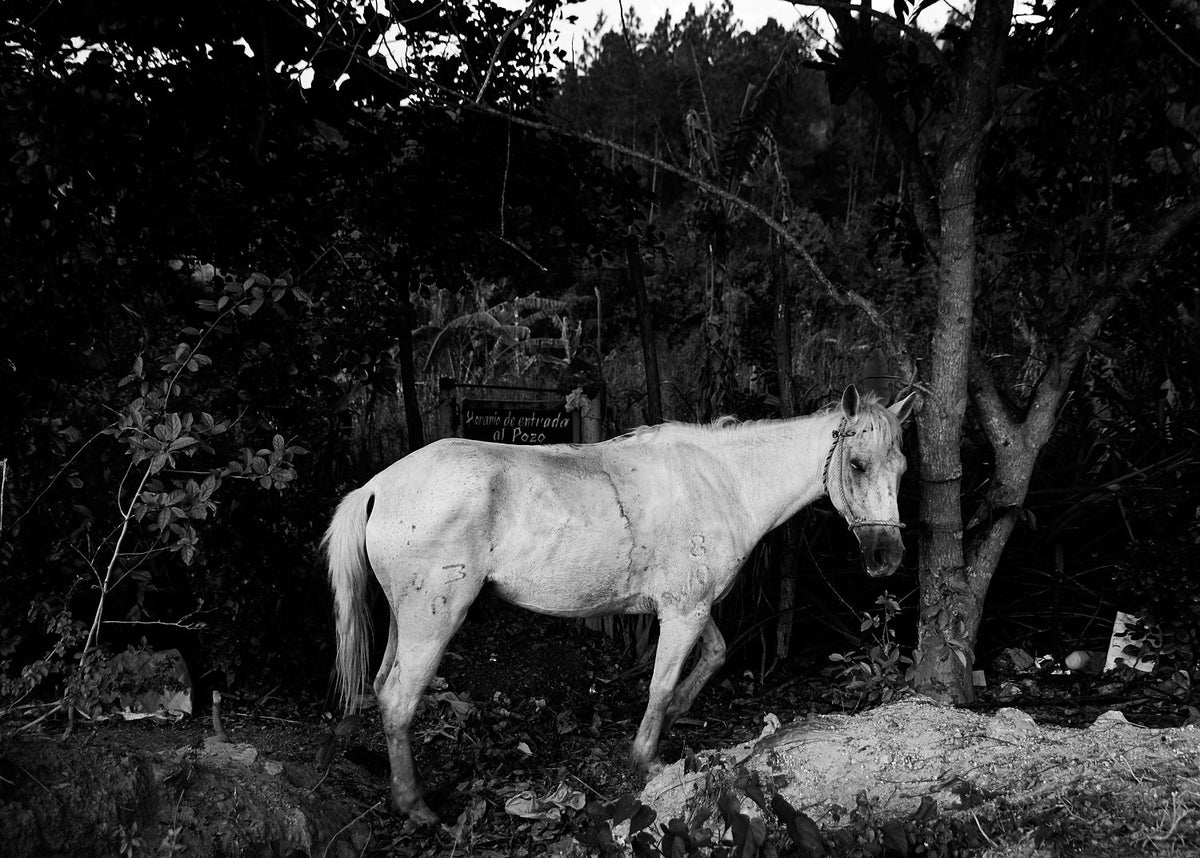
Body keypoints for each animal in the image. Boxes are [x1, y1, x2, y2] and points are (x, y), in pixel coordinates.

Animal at [324, 384, 915, 822]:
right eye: (857, 464)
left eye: (902, 469)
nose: (886, 557)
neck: (723, 482)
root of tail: (380, 485)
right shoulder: (683, 612)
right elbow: (661, 683)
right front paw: (647, 759)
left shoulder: (692, 608)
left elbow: (714, 657)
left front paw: (674, 720)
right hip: (433, 621)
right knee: (399, 699)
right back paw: (415, 807)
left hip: (405, 621)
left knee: (383, 688)